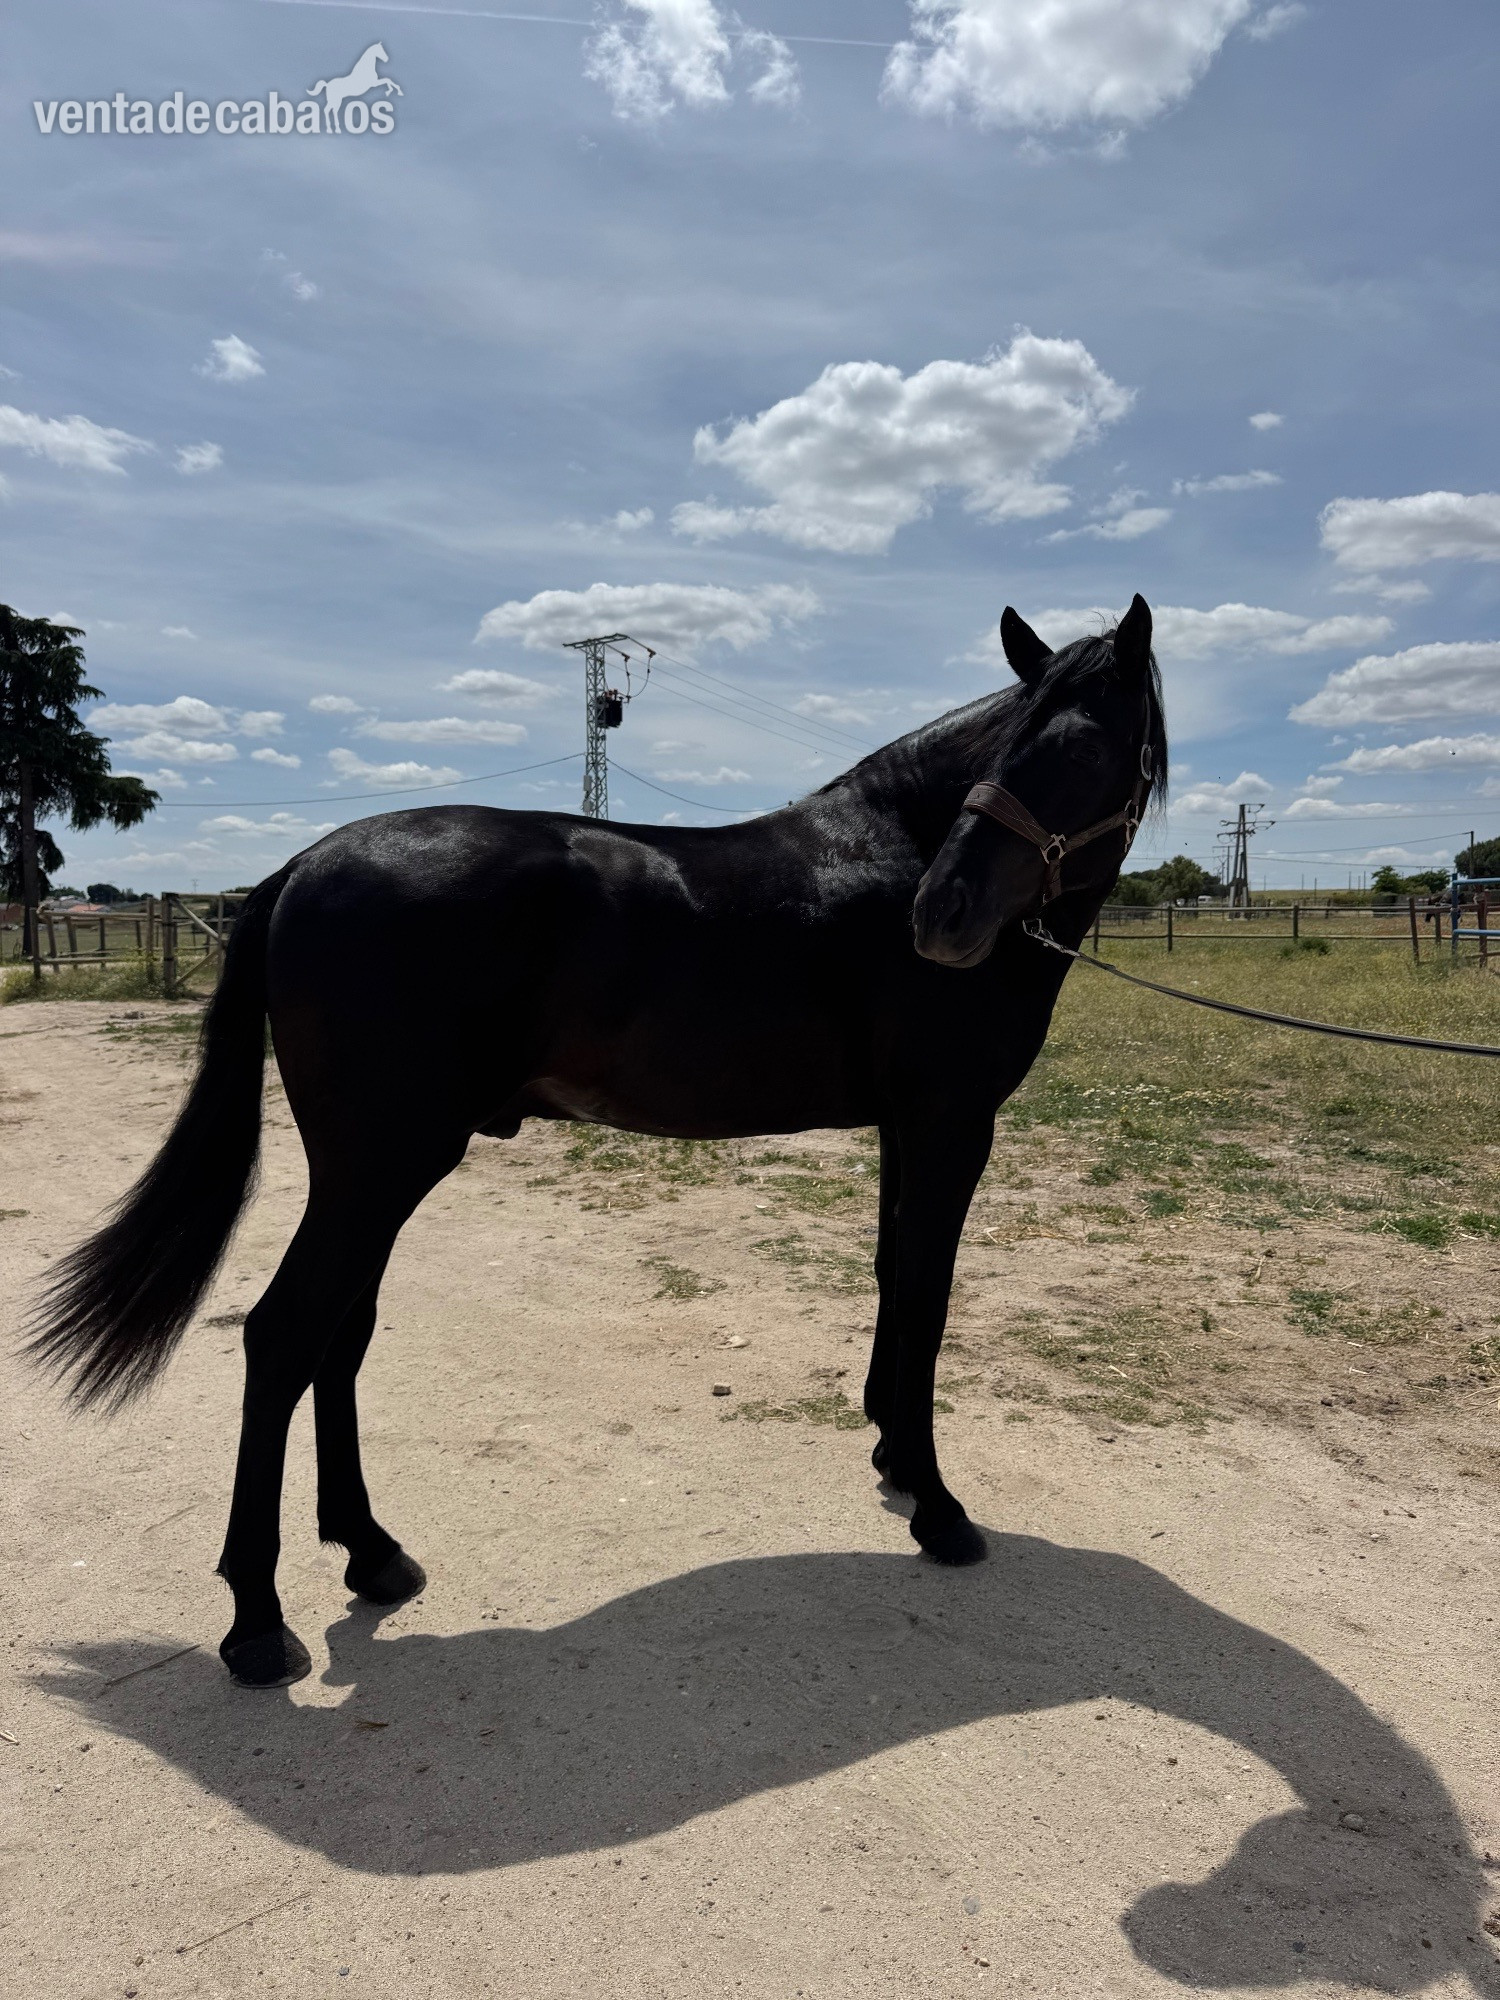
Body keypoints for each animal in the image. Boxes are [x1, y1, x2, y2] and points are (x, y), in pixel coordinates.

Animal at [26, 597, 1167, 1688]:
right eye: (1007, 745)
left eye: (1085, 749)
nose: (943, 917)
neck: (893, 855)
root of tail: (304, 865)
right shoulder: (950, 1121)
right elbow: (927, 1296)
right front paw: (938, 1507)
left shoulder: (909, 1125)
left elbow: (894, 1277)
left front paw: (891, 1452)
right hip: (379, 1167)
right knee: (283, 1338)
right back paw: (258, 1626)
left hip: (370, 1173)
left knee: (339, 1338)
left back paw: (370, 1552)